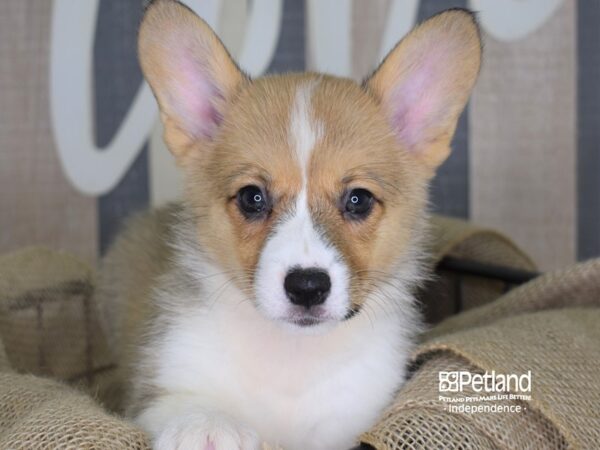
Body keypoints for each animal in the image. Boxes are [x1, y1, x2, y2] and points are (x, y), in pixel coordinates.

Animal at [99, 1, 482, 448]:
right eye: (252, 197)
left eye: (358, 199)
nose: (307, 287)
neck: (292, 357)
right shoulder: (158, 386)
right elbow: (183, 403)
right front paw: (207, 425)